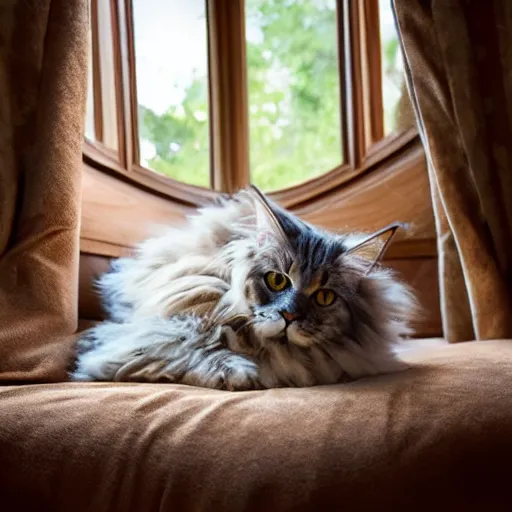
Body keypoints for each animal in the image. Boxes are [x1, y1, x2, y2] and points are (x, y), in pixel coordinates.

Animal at [70, 186, 418, 390]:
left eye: (325, 297)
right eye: (277, 280)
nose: (290, 316)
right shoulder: (164, 328)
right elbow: (189, 344)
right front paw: (237, 372)